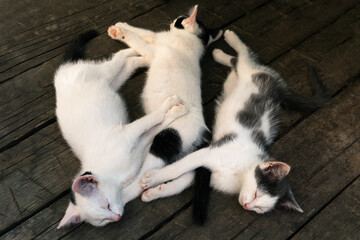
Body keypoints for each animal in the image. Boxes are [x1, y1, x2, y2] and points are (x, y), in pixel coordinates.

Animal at [55, 30, 188, 227]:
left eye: (107, 205)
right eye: (103, 221)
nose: (117, 217)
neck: (115, 177)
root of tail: (61, 73)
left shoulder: (126, 132)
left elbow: (151, 119)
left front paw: (172, 105)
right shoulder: (138, 144)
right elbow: (154, 127)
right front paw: (173, 111)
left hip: (104, 72)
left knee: (118, 58)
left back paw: (134, 48)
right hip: (113, 82)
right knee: (127, 66)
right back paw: (141, 58)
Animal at [107, 4, 222, 210]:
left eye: (180, 20)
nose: (171, 21)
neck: (193, 40)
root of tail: (204, 131)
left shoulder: (153, 52)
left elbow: (139, 41)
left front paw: (122, 32)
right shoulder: (157, 38)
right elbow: (145, 32)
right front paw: (120, 26)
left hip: (167, 138)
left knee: (141, 180)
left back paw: (128, 193)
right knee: (187, 174)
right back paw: (156, 191)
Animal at [140, 30, 330, 223]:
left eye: (259, 209)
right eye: (256, 193)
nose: (247, 206)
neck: (239, 176)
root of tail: (277, 89)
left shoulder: (209, 173)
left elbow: (181, 181)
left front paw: (155, 191)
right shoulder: (209, 152)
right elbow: (177, 168)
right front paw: (152, 178)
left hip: (239, 75)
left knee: (236, 62)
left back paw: (220, 54)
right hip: (251, 71)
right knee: (245, 54)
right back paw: (228, 39)